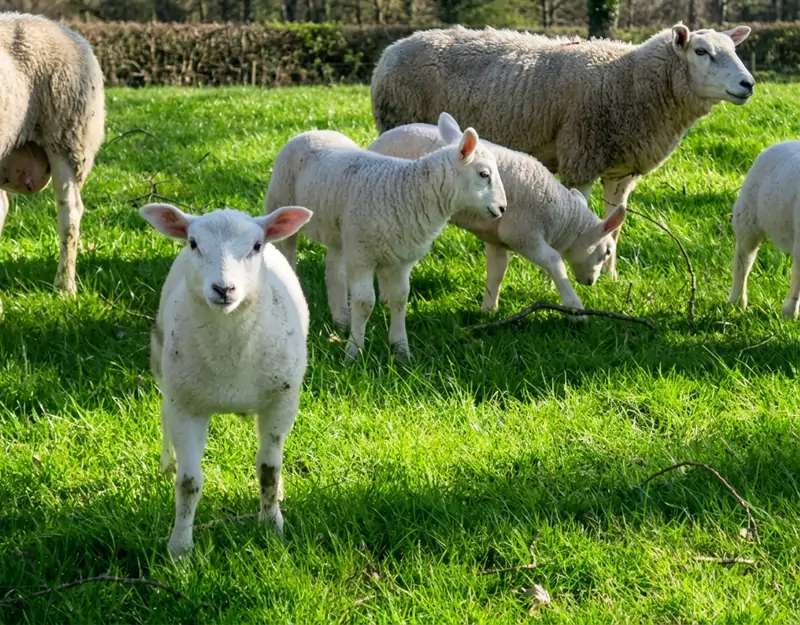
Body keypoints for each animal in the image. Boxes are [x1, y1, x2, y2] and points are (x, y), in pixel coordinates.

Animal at [140, 202, 313, 558]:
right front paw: (180, 547)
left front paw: (271, 526)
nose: (223, 289)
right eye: (193, 243)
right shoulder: (186, 406)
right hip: (163, 368)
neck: (230, 358)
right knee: (164, 418)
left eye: (256, 246)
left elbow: (269, 471)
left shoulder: (282, 401)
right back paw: (167, 464)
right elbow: (188, 482)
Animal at [265, 125, 507, 362]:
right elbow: (365, 303)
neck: (408, 193)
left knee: (334, 270)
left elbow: (400, 299)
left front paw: (401, 350)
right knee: (288, 257)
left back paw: (341, 318)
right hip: (280, 201)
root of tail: (313, 131)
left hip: (340, 232)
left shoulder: (401, 259)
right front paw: (353, 352)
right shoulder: (361, 256)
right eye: (484, 174)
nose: (502, 208)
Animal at [369, 113, 627, 315]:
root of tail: (375, 143)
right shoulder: (524, 235)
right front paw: (575, 307)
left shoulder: (498, 239)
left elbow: (497, 271)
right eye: (606, 251)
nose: (591, 283)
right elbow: (554, 261)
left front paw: (489, 310)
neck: (558, 216)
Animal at [371, 23, 753, 280]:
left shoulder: (622, 171)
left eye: (734, 50)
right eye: (701, 52)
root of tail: (393, 49)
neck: (629, 79)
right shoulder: (581, 156)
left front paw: (611, 278)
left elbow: (614, 226)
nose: (748, 84)